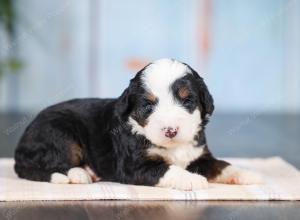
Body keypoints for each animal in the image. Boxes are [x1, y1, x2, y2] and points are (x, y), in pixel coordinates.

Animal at [15, 58, 262, 191]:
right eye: (148, 105)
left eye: (187, 100)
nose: (170, 131)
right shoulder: (134, 165)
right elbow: (167, 169)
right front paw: (192, 179)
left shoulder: (199, 155)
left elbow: (221, 164)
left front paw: (247, 174)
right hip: (60, 131)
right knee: (48, 164)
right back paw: (79, 174)